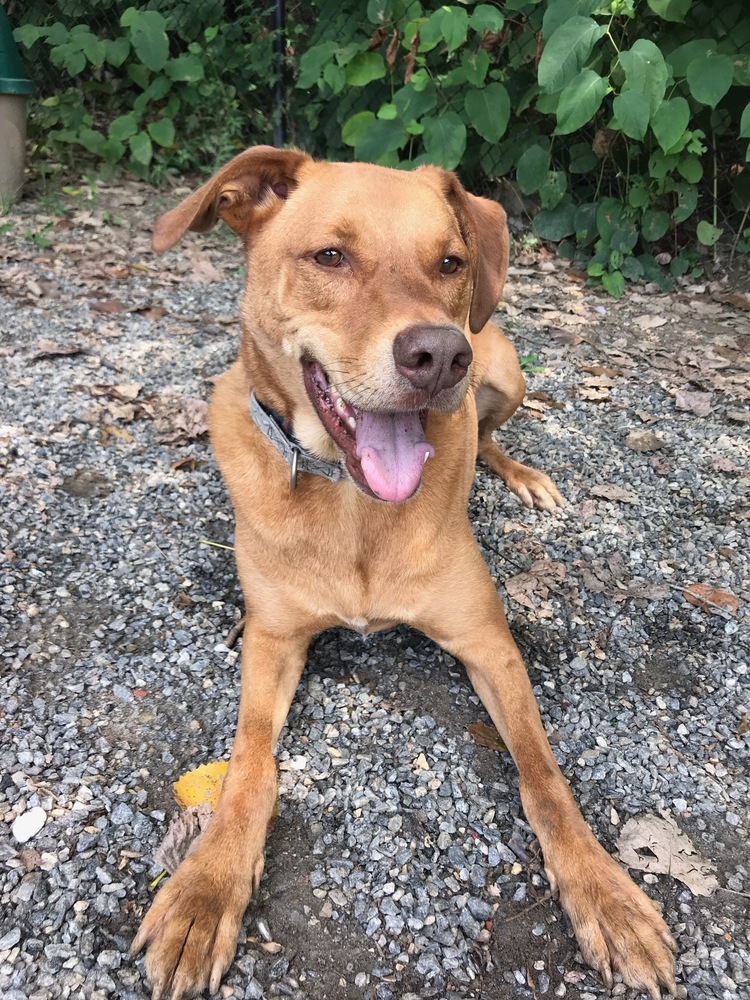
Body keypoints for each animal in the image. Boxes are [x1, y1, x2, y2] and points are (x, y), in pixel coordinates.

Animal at [132, 148, 680, 1000]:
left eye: (449, 263)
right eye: (330, 256)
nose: (441, 354)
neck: (355, 504)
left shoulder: (489, 643)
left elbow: (546, 779)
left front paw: (606, 895)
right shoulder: (272, 638)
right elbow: (248, 764)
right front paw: (204, 887)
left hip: (506, 372)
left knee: (491, 435)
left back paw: (522, 476)